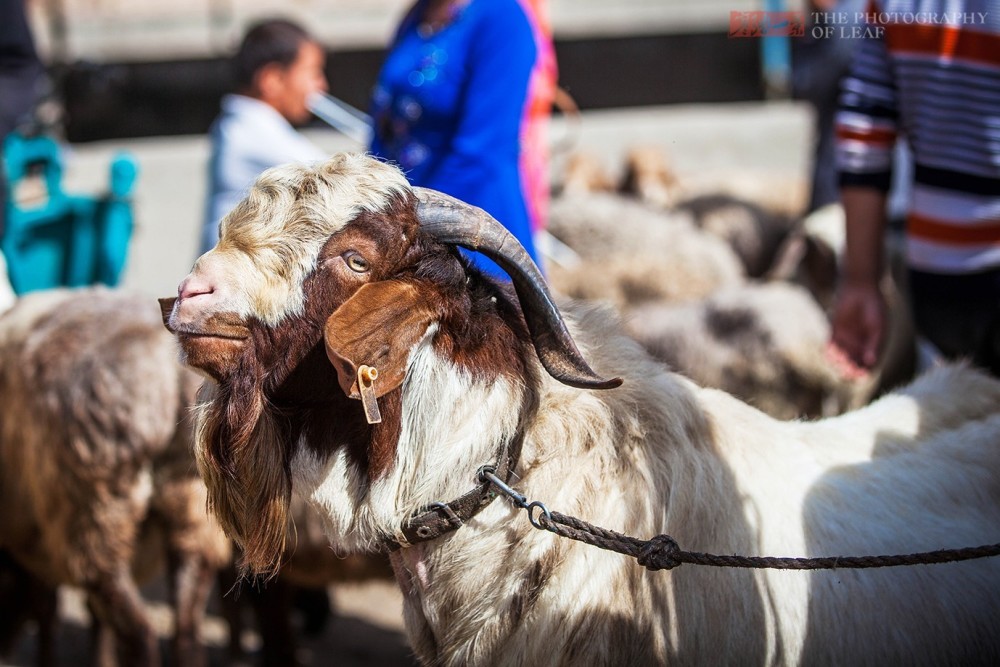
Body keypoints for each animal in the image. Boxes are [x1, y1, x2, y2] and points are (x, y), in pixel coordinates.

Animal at [0, 288, 229, 667]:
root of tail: (166, 377)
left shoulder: (37, 535)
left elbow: (46, 609)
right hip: (193, 511)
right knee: (185, 632)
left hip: (96, 511)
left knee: (139, 634)